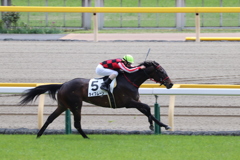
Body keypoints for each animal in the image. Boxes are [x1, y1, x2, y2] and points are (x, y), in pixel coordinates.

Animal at [20, 60, 172, 138]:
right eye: (161, 71)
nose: (170, 84)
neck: (130, 80)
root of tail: (63, 84)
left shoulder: (135, 102)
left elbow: (148, 111)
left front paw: (163, 125)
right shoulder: (129, 103)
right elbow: (147, 108)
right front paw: (152, 125)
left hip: (63, 105)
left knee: (50, 118)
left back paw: (39, 135)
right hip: (76, 105)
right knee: (76, 123)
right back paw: (86, 137)